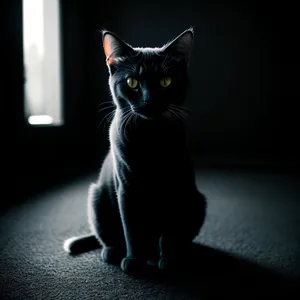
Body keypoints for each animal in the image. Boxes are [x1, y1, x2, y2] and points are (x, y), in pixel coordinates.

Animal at [63, 28, 206, 276]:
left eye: (165, 81)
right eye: (132, 82)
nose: (149, 100)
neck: (149, 137)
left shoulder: (175, 186)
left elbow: (169, 233)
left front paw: (169, 260)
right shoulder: (127, 188)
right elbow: (132, 229)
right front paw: (134, 261)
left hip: (197, 201)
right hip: (97, 197)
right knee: (107, 236)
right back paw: (111, 252)